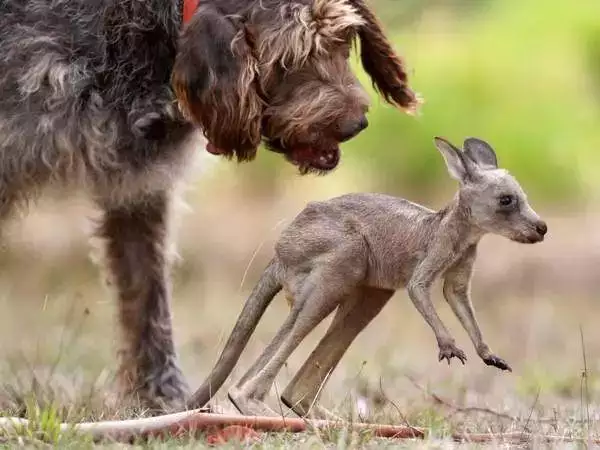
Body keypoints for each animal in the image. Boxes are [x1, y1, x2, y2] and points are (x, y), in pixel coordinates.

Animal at [0, 0, 420, 410]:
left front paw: (160, 401)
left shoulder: (137, 191)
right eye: (286, 61)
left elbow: (146, 297)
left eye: (341, 40)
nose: (356, 124)